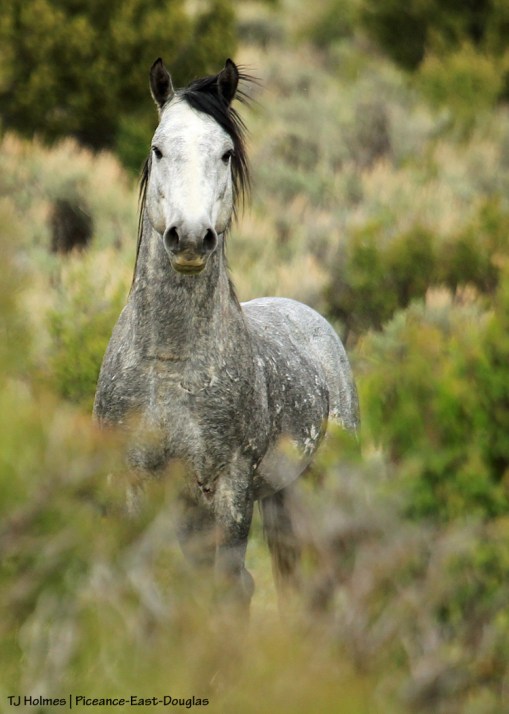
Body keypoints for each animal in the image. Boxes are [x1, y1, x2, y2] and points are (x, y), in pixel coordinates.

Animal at [93, 57, 359, 612]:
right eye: (158, 148)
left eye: (226, 152)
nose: (191, 238)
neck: (169, 363)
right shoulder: (136, 483)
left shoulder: (231, 488)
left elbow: (227, 589)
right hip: (267, 499)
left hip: (314, 488)